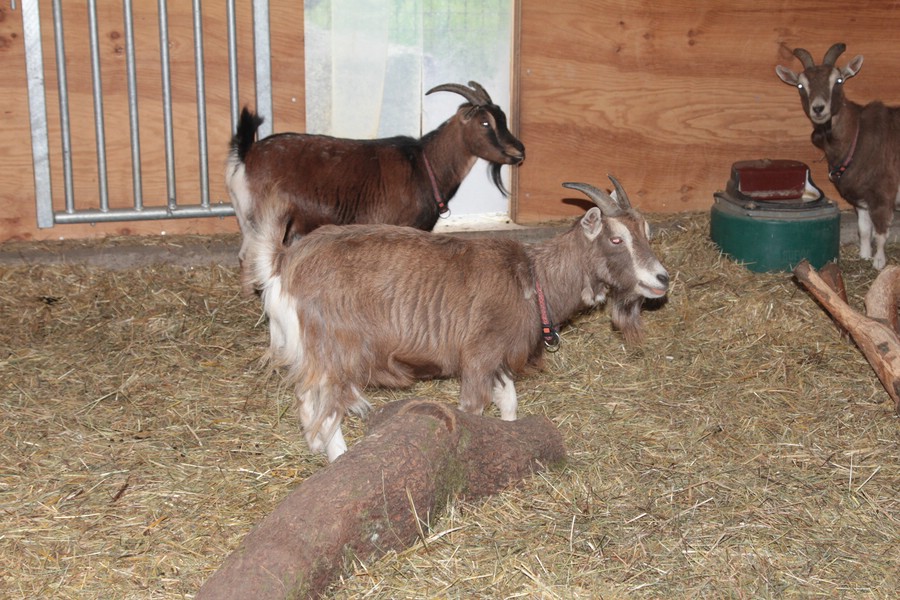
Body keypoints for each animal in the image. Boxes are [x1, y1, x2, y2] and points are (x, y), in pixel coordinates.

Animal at [226, 81, 526, 294]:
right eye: (485, 122)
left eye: (502, 118)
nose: (519, 151)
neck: (423, 163)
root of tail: (246, 155)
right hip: (262, 221)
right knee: (251, 257)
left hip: (247, 221)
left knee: (242, 256)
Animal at [246, 175, 670, 461]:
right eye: (616, 238)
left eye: (647, 231)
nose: (662, 279)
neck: (532, 279)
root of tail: (283, 265)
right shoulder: (479, 355)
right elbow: (473, 410)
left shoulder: (497, 358)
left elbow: (509, 403)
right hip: (334, 349)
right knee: (328, 408)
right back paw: (338, 456)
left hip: (306, 351)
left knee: (305, 397)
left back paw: (315, 445)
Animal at [776, 42, 900, 269]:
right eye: (800, 85)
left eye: (838, 81)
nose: (818, 108)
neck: (857, 135)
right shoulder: (861, 197)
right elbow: (864, 230)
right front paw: (864, 256)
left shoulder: (883, 193)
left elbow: (880, 233)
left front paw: (878, 263)